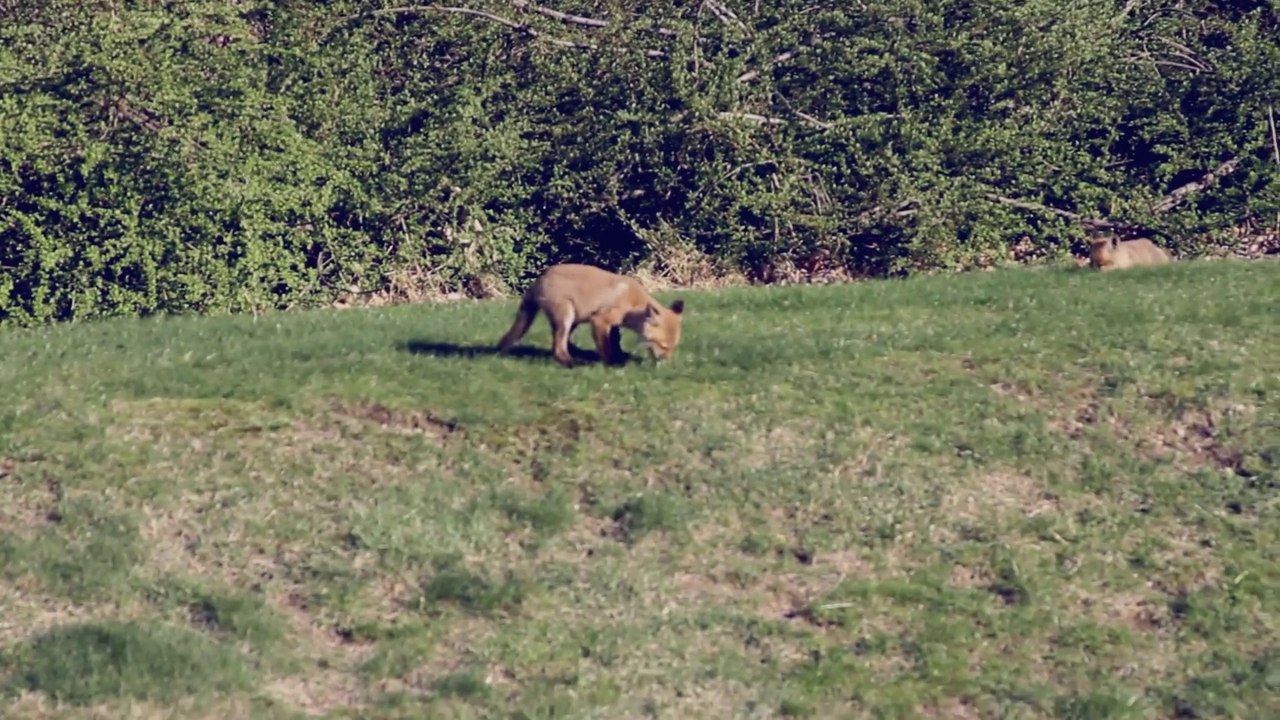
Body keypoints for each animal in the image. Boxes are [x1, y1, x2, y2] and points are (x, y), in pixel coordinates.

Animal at [496, 263, 685, 368]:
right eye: (663, 346)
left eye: (673, 347)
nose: (667, 364)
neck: (632, 302)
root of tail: (540, 277)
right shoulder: (600, 320)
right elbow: (606, 347)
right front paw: (612, 364)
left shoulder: (612, 324)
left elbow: (615, 343)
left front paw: (619, 357)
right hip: (566, 316)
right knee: (558, 348)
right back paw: (573, 363)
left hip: (574, 319)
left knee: (562, 343)